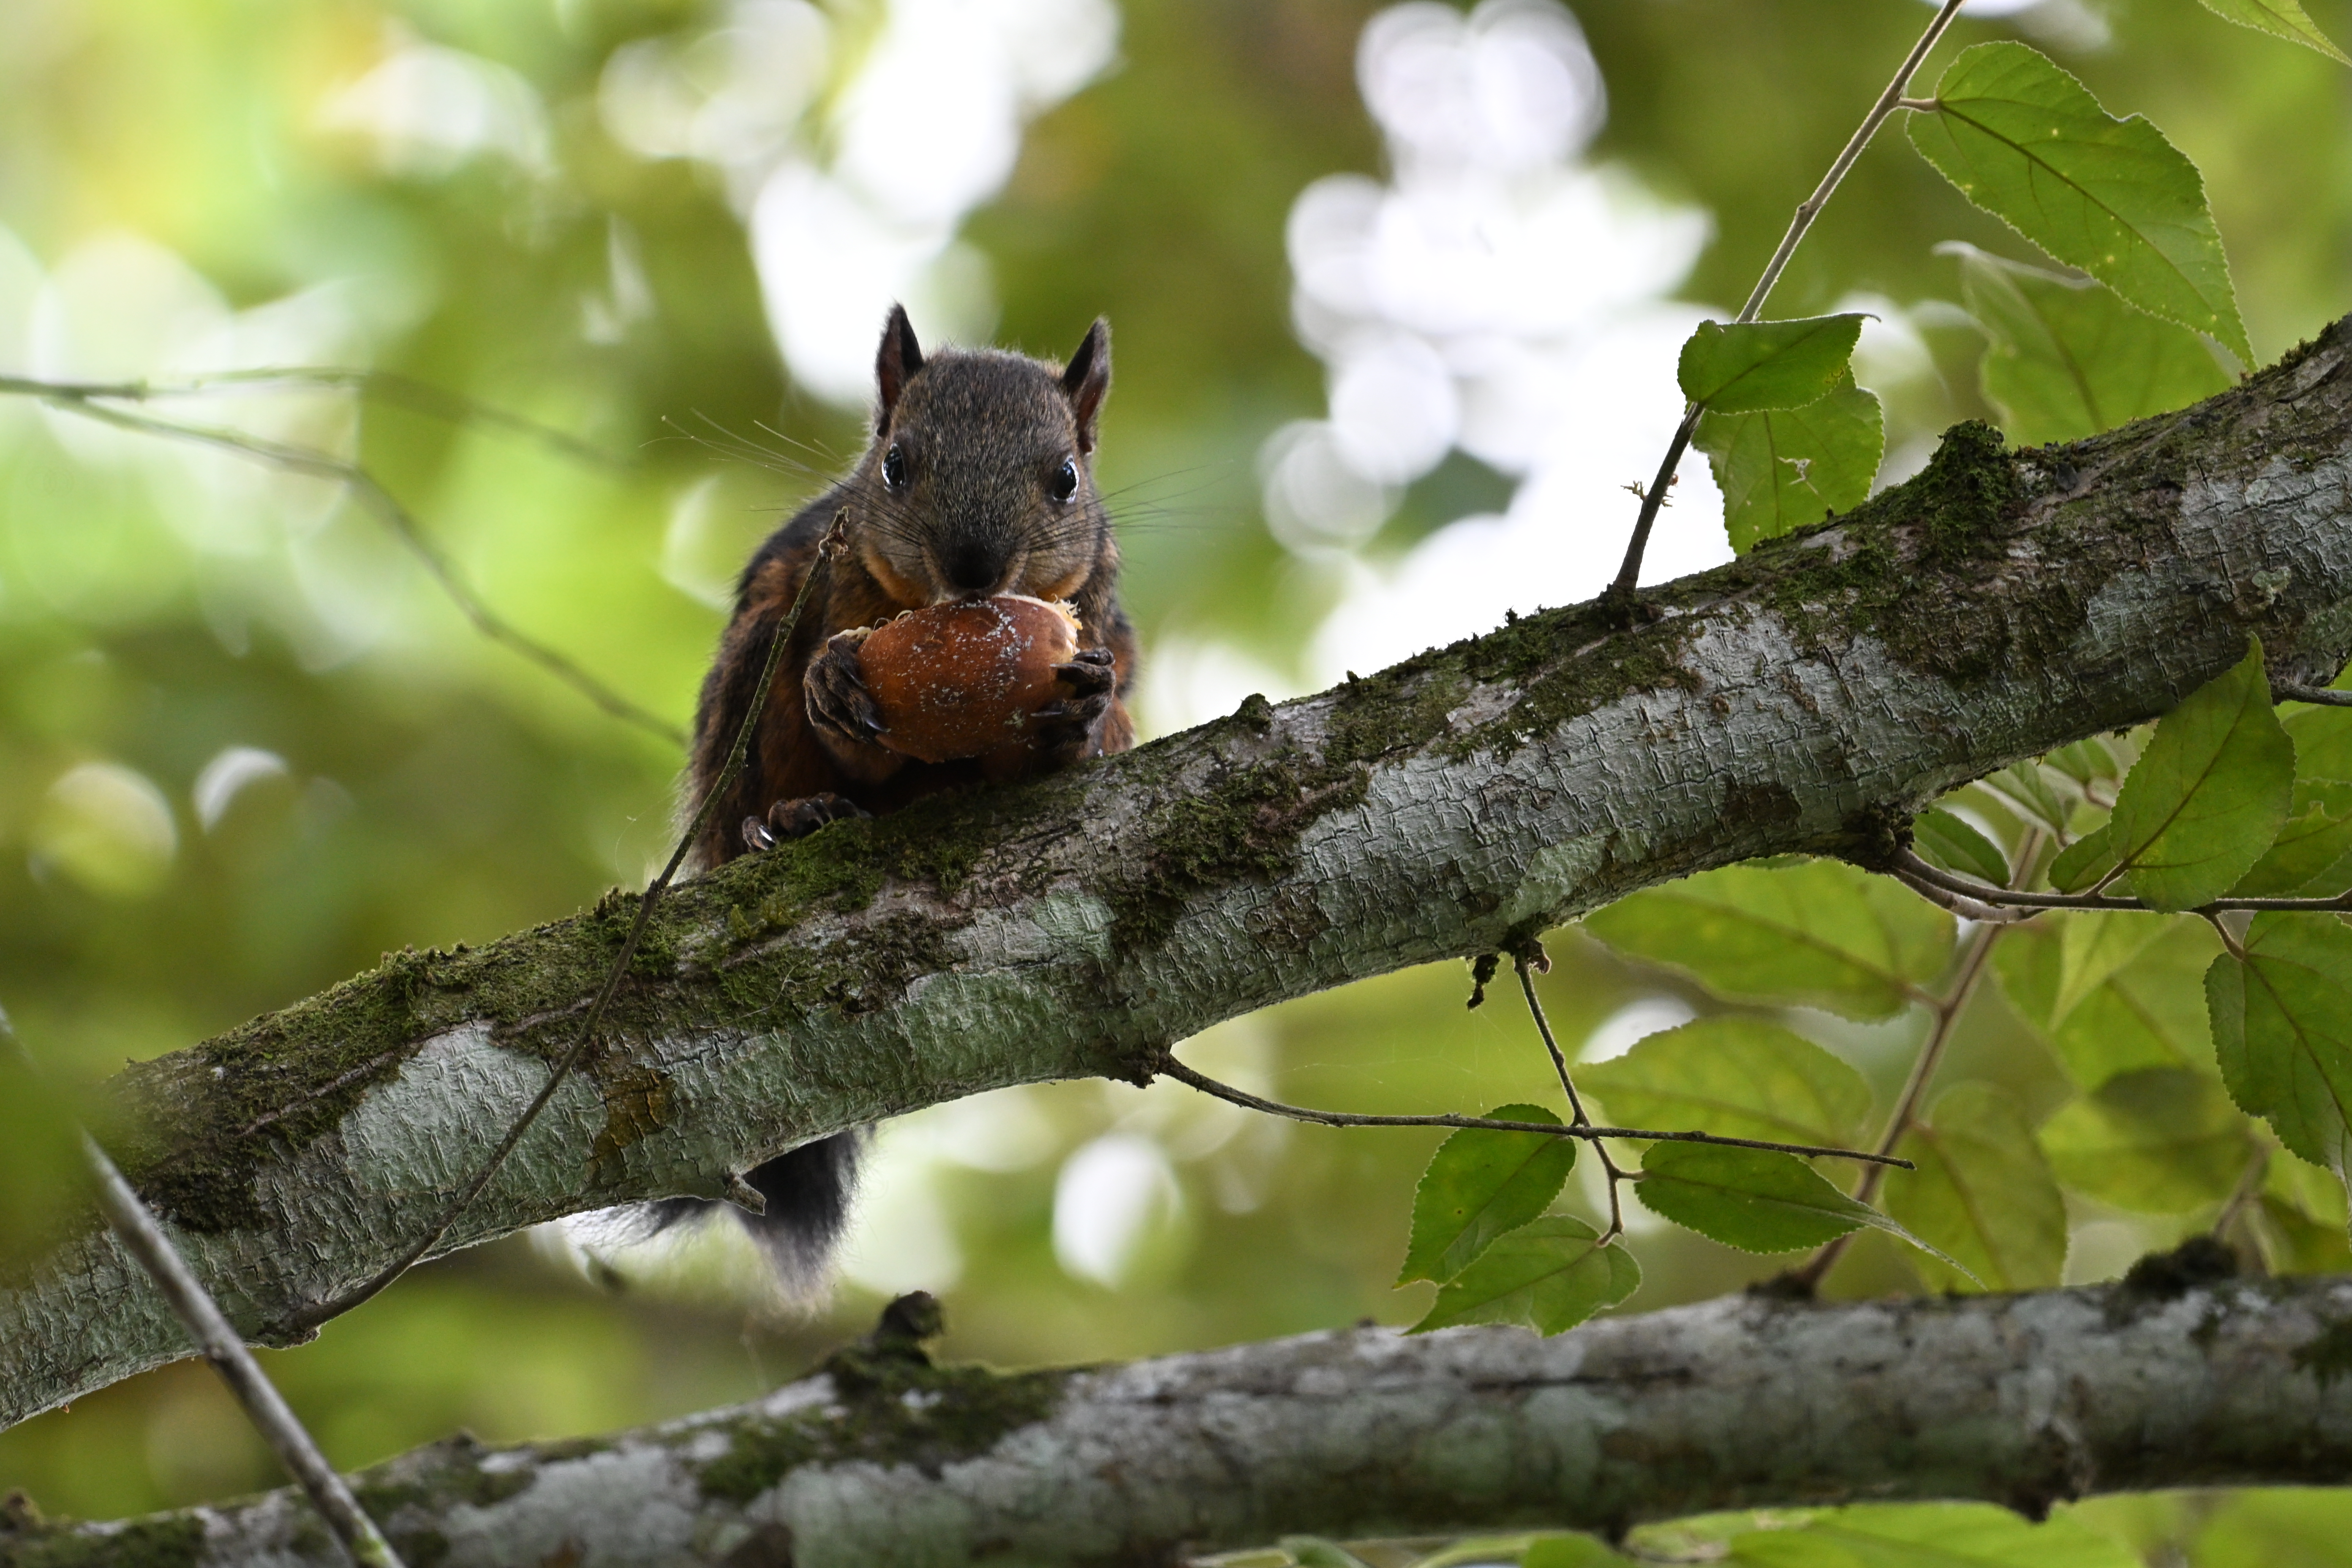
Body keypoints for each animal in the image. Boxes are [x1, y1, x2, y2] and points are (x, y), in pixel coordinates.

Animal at [642, 305, 1138, 1286]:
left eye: (1066, 479)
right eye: (895, 465)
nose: (974, 567)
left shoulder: (1102, 618)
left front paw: (1080, 716)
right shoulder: (822, 583)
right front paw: (835, 686)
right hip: (750, 672)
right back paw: (791, 821)